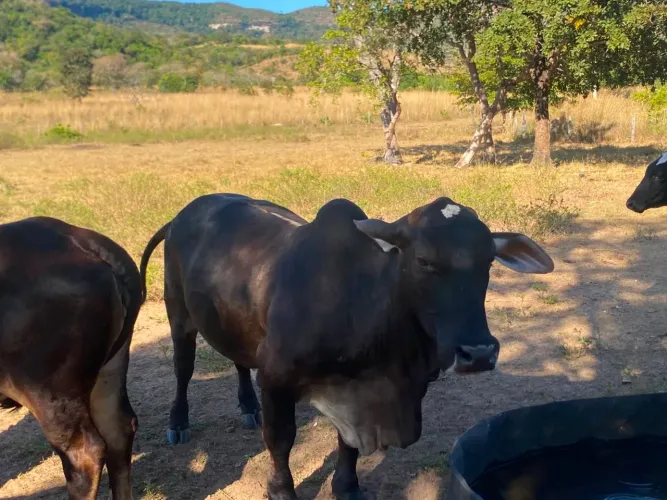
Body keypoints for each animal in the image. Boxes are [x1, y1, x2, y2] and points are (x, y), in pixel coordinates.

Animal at [139, 194, 554, 500]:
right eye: (423, 260)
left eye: (489, 261)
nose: (479, 353)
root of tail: (182, 215)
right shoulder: (275, 378)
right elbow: (281, 440)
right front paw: (280, 491)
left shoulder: (356, 390)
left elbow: (348, 443)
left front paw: (347, 486)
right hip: (178, 315)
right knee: (183, 368)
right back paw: (178, 423)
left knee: (239, 360)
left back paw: (247, 407)